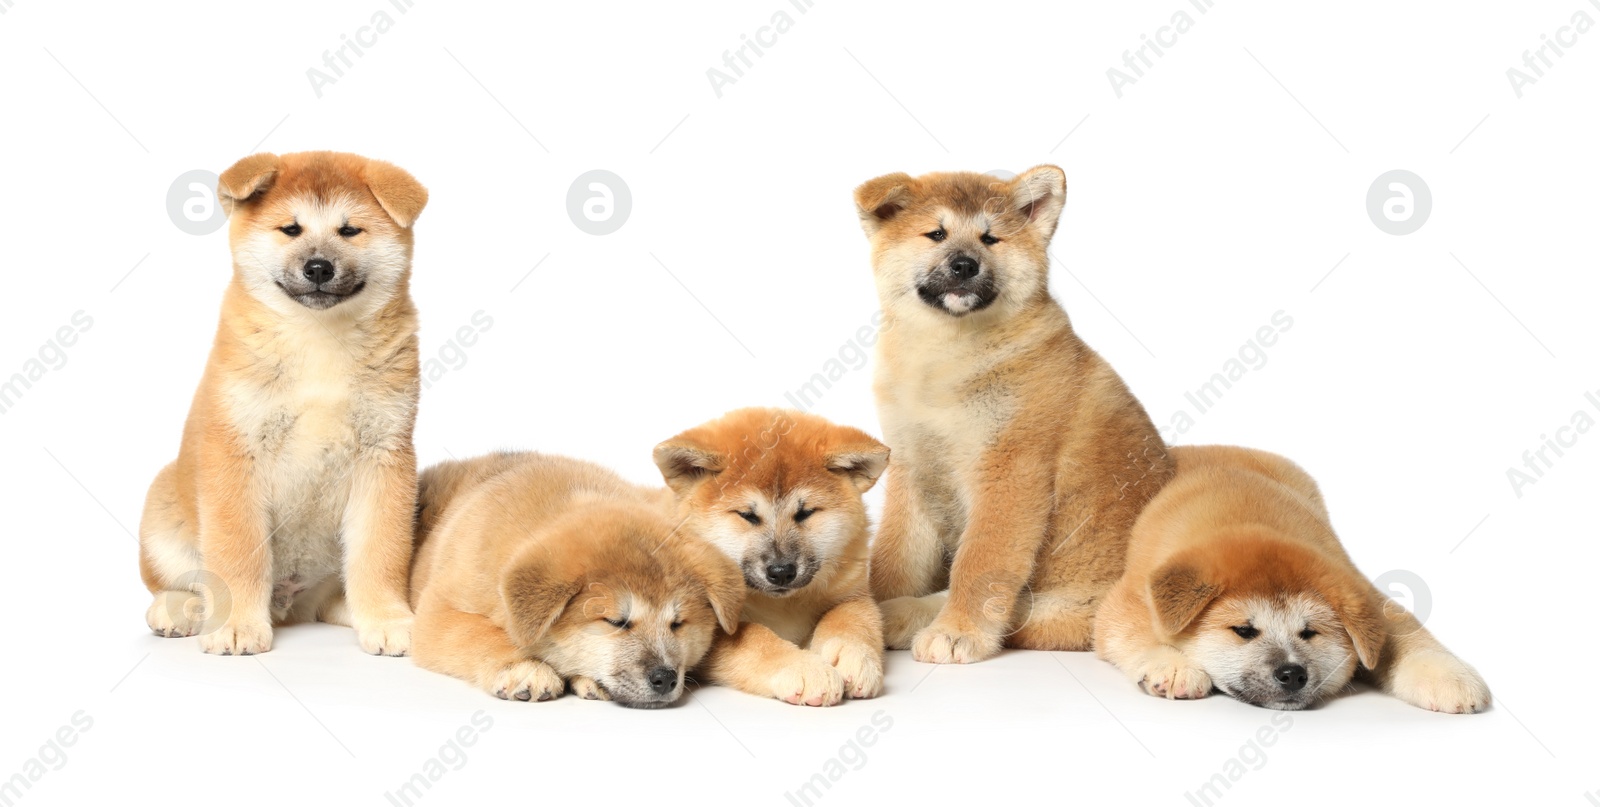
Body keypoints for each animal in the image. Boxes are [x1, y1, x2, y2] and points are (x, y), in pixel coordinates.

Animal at [140, 149, 425, 656]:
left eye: (349, 230)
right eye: (290, 229)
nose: (318, 267)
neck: (318, 338)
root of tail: (289, 604)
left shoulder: (385, 454)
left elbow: (380, 552)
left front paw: (389, 619)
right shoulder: (235, 452)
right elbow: (238, 552)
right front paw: (235, 625)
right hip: (161, 511)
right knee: (177, 582)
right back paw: (178, 609)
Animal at [406, 451, 742, 707]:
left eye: (677, 624)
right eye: (616, 622)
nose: (666, 679)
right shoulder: (437, 613)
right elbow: (481, 633)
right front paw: (524, 668)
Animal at [656, 409, 896, 704]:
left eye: (805, 513)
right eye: (747, 515)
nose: (781, 571)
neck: (782, 605)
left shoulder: (854, 594)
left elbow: (852, 621)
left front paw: (853, 656)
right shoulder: (707, 627)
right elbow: (755, 639)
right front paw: (804, 668)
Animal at [851, 167, 1177, 666]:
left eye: (991, 238)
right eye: (936, 234)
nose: (965, 265)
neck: (943, 358)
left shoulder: (1009, 473)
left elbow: (979, 564)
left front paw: (958, 633)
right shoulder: (913, 469)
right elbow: (895, 554)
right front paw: (872, 609)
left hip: (1074, 607)